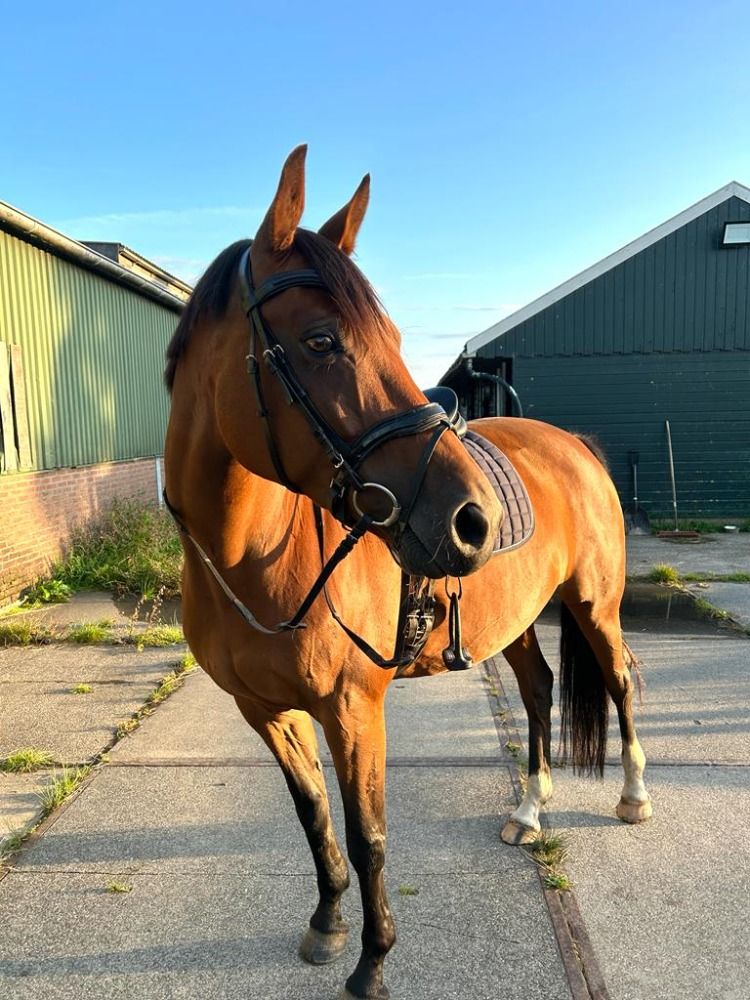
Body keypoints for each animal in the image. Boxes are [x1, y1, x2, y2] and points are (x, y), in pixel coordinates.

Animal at [163, 146, 651, 1000]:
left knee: (621, 680)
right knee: (539, 691)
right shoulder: (266, 712)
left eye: (389, 335)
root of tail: (577, 446)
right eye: (321, 341)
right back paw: (530, 810)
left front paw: (373, 960)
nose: (472, 522)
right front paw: (327, 925)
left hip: (595, 605)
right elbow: (315, 818)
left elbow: (370, 836)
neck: (252, 562)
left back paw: (632, 795)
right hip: (517, 622)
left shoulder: (353, 709)